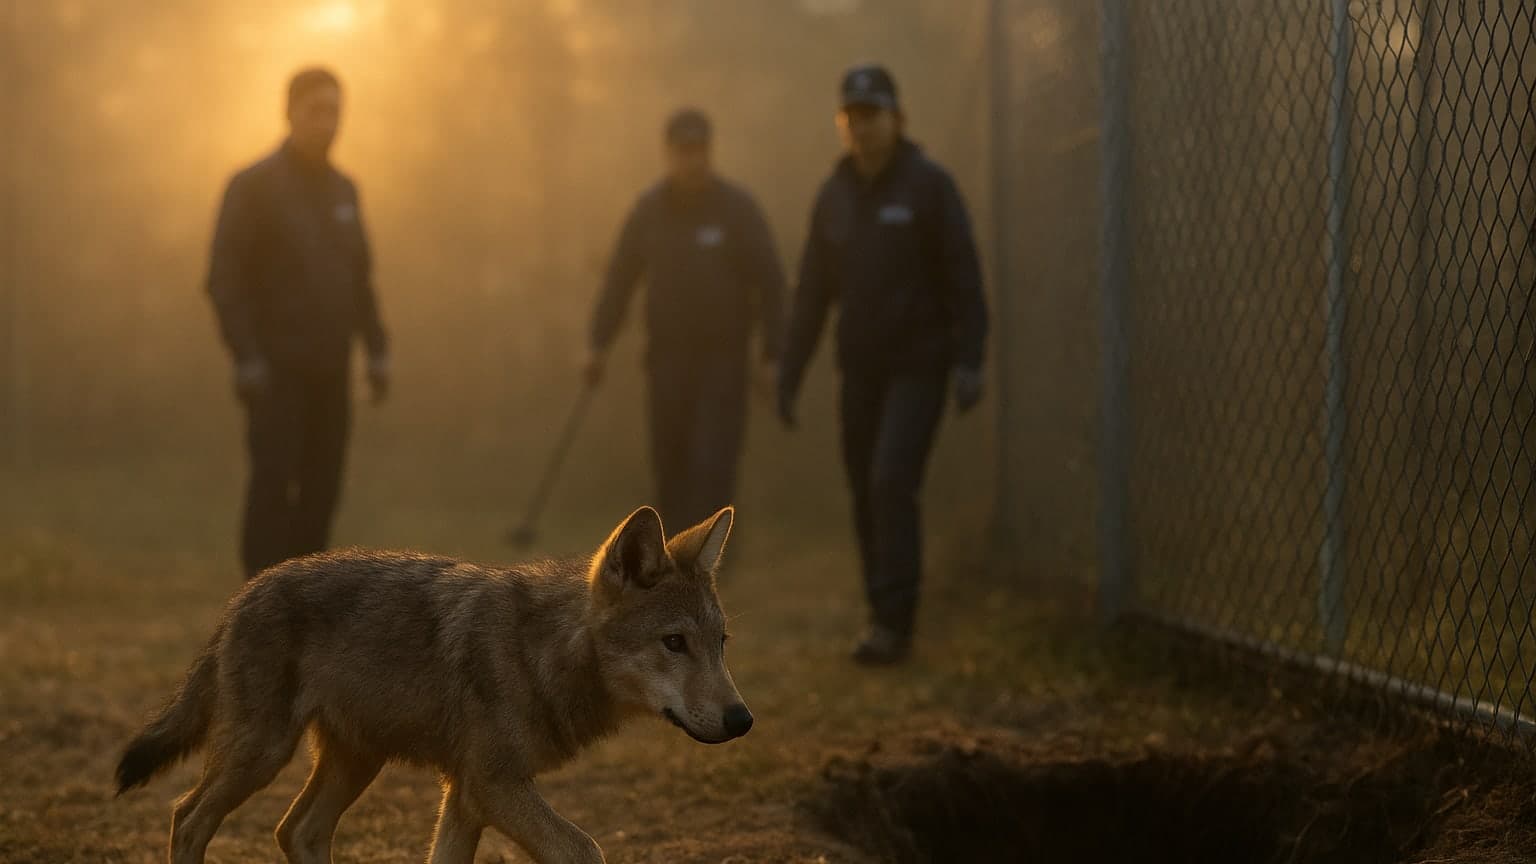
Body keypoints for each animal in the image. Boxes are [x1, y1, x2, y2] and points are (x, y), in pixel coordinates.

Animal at [115, 505, 751, 864]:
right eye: (674, 643)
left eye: (721, 643)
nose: (743, 720)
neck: (538, 652)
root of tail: (245, 593)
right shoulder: (492, 785)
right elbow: (585, 848)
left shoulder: (467, 795)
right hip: (264, 754)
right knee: (188, 818)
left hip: (356, 761)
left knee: (295, 830)